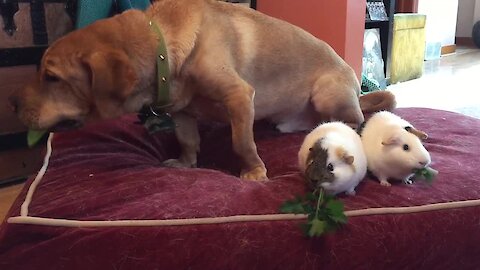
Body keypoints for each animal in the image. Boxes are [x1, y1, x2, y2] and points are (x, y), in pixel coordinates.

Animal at [9, 0, 396, 181]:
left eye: (51, 77)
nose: (11, 104)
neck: (161, 43)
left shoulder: (239, 96)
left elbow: (241, 142)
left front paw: (254, 172)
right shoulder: (181, 112)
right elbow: (187, 141)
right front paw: (185, 163)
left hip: (327, 93)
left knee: (355, 119)